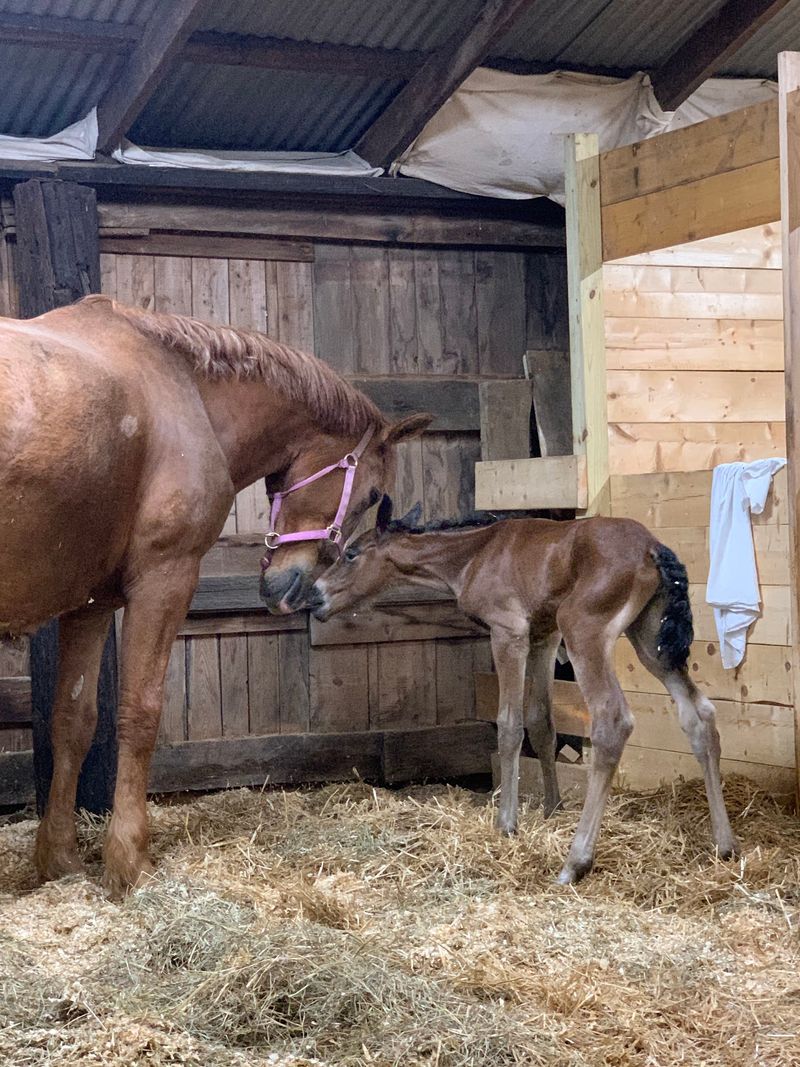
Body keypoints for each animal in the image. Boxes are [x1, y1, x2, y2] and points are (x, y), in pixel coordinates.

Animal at [0, 296, 430, 896]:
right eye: (369, 494)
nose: (292, 588)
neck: (182, 388)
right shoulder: (165, 578)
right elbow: (140, 711)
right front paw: (128, 857)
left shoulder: (91, 604)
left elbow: (73, 720)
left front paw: (59, 859)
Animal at [309, 500, 740, 884]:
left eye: (350, 553)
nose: (314, 597)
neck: (474, 555)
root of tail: (653, 547)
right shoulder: (544, 638)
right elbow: (541, 722)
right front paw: (552, 808)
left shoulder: (509, 633)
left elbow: (510, 725)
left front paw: (507, 823)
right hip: (651, 641)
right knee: (700, 714)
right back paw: (725, 845)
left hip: (584, 629)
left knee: (612, 720)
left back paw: (575, 862)